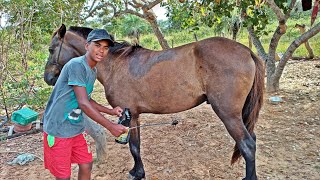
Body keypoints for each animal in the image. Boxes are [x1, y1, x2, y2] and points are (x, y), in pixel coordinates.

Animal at [43, 24, 264, 180]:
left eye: (51, 49)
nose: (48, 78)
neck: (116, 65)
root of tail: (246, 51)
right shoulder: (134, 116)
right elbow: (136, 145)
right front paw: (138, 171)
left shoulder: (130, 115)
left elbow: (133, 146)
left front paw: (137, 174)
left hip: (229, 114)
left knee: (247, 145)